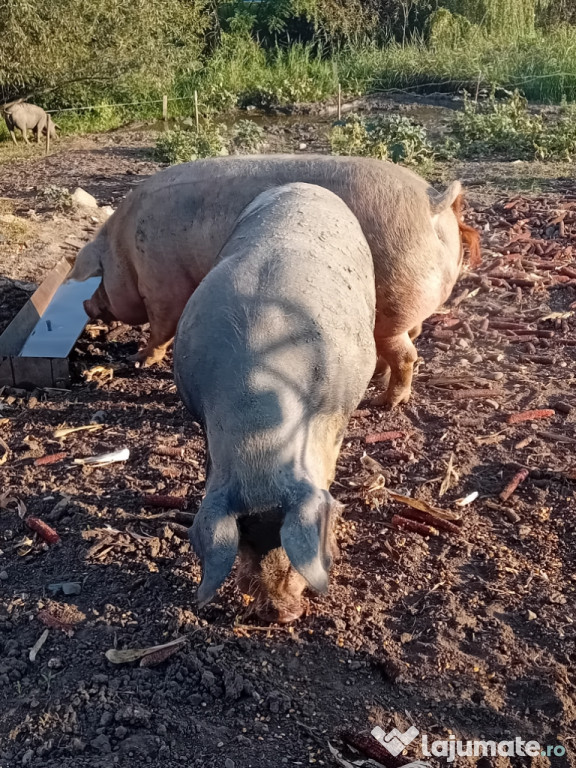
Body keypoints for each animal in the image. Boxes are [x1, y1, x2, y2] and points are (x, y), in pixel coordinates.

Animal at [68, 155, 482, 408]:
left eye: (94, 278)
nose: (86, 306)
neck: (124, 249)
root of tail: (433, 201)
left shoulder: (162, 283)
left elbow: (161, 329)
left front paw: (137, 359)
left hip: (393, 303)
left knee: (406, 354)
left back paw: (385, 402)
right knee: (406, 341)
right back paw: (381, 384)